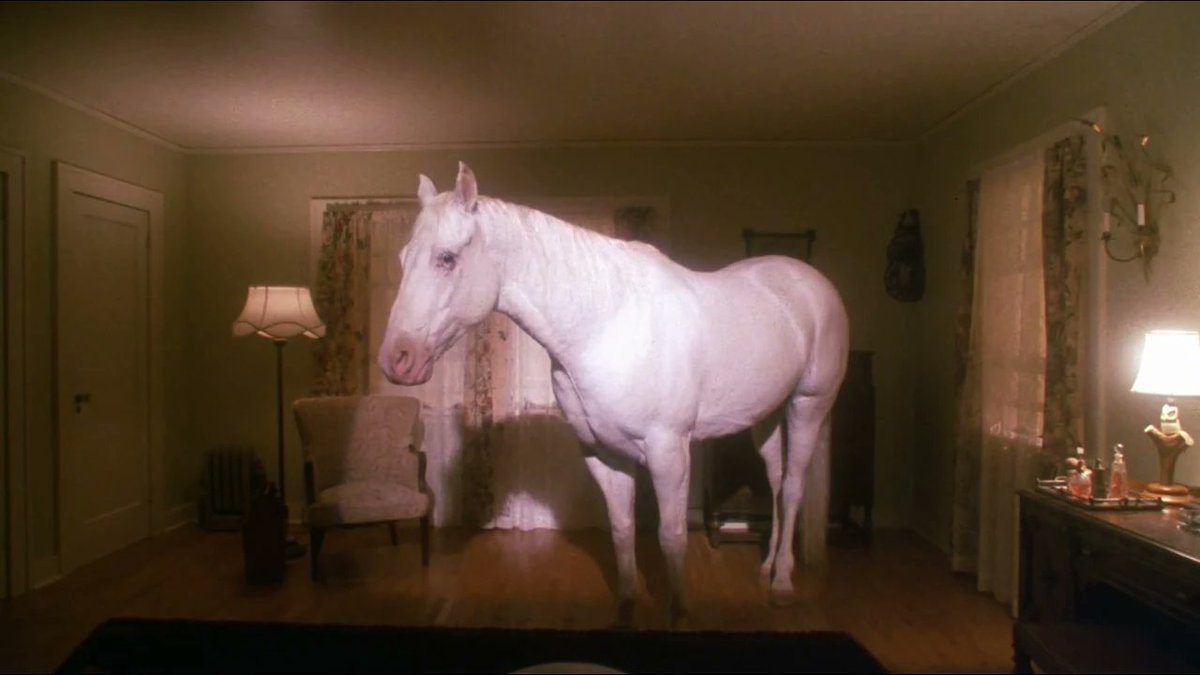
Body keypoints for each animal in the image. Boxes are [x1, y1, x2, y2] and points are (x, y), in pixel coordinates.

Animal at [378, 162, 849, 623]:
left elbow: (672, 536)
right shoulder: (604, 453)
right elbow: (621, 529)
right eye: (401, 258)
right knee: (776, 481)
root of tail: (813, 283)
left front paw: (679, 613)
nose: (395, 359)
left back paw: (783, 584)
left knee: (793, 486)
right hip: (766, 418)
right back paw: (767, 568)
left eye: (446, 258)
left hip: (808, 406)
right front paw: (626, 608)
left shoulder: (668, 453)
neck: (606, 324)